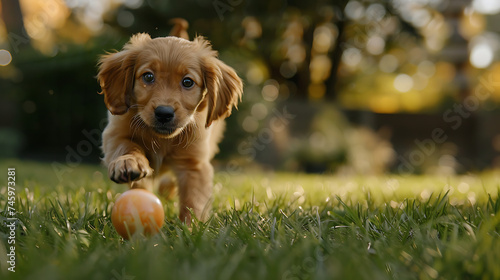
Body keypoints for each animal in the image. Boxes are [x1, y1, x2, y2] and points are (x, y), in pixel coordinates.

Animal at [97, 27, 242, 223]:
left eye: (187, 82)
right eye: (148, 76)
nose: (164, 113)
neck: (162, 139)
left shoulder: (194, 164)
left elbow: (193, 200)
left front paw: (191, 227)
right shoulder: (114, 133)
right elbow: (126, 146)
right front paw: (128, 162)